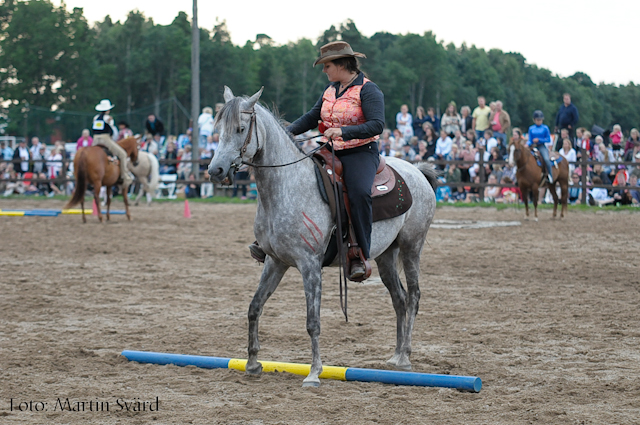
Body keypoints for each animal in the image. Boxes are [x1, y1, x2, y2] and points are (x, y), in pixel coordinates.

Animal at [210, 87, 440, 388]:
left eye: (240, 128)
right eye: (218, 130)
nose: (215, 170)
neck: (288, 185)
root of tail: (417, 172)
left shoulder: (310, 265)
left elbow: (312, 321)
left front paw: (314, 372)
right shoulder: (275, 261)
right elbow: (254, 307)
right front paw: (252, 363)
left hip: (412, 247)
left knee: (413, 297)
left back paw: (405, 357)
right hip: (386, 257)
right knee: (399, 299)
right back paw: (396, 355)